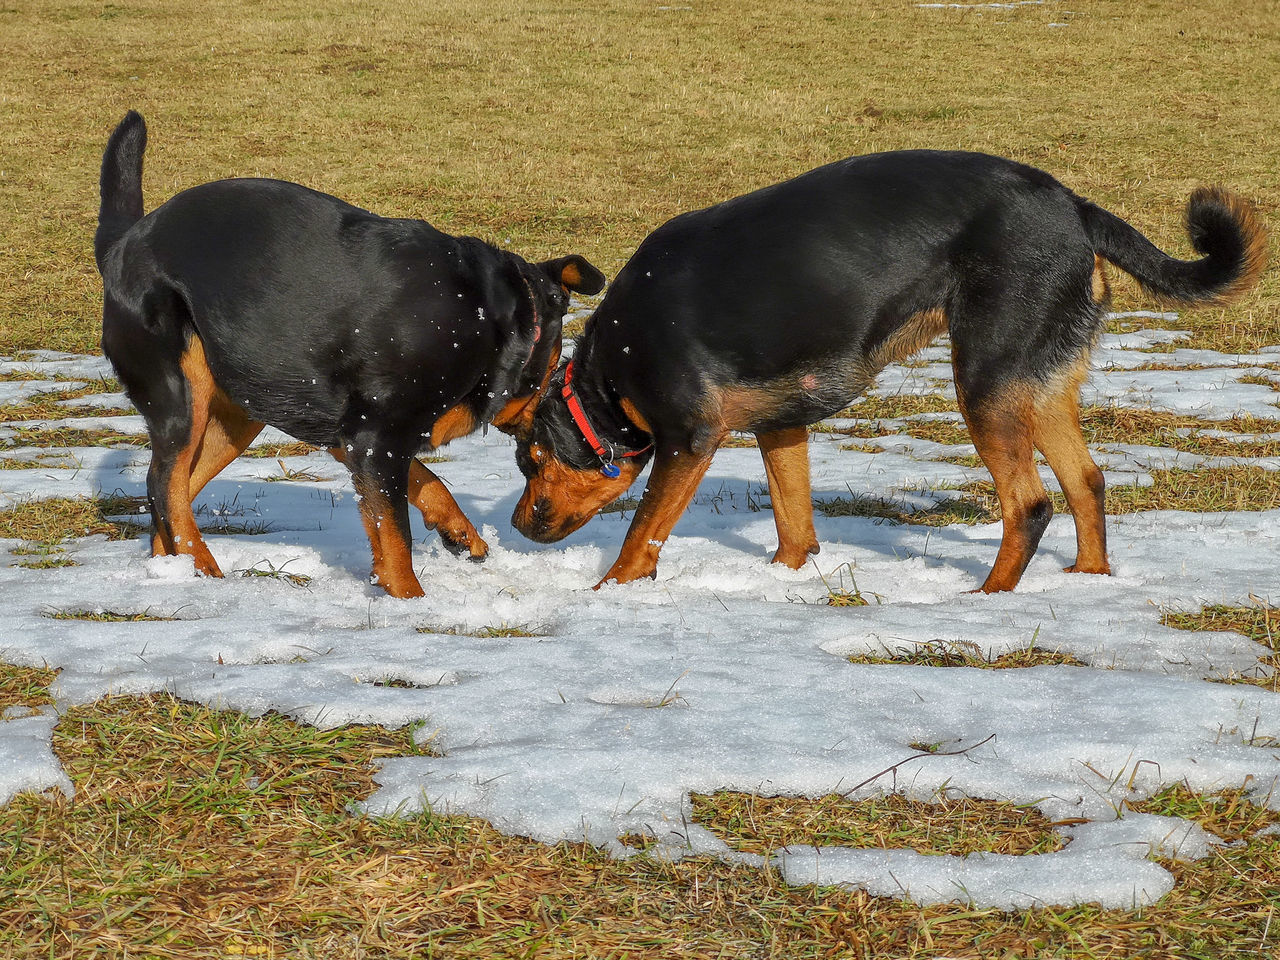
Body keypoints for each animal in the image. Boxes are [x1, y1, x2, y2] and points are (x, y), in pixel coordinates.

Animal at [94, 112, 604, 601]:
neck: (490, 321)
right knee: (163, 485)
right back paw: (202, 565)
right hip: (179, 392)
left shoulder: (357, 438)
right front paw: (409, 598)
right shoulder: (374, 435)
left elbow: (425, 483)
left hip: (234, 414)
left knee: (176, 495)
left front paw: (460, 534)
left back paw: (178, 572)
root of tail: (121, 245)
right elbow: (395, 535)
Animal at [512, 150, 1269, 593]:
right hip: (1040, 379)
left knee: (1029, 503)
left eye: (531, 461)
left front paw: (609, 593)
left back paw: (989, 597)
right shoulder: (781, 426)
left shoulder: (689, 441)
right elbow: (793, 520)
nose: (518, 525)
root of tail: (1075, 207)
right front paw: (783, 580)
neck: (612, 375)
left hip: (986, 379)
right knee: (1086, 481)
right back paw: (1089, 580)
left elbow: (642, 534)